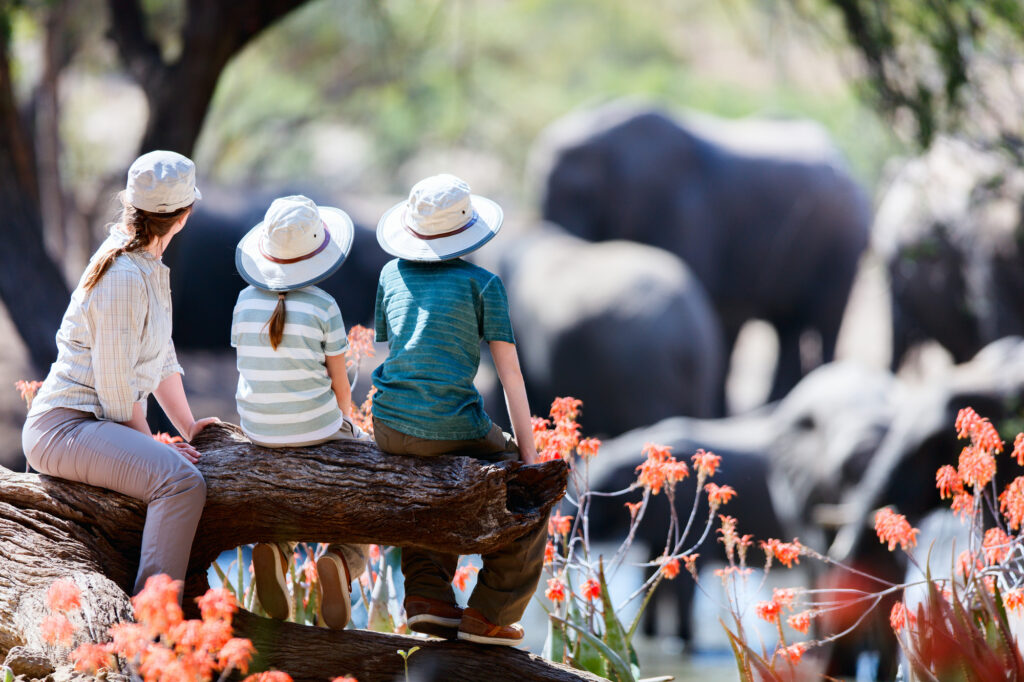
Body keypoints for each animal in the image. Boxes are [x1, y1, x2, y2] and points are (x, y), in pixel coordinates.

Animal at [533, 100, 872, 409]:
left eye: (581, 195)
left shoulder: (683, 212)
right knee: (786, 324)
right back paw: (775, 403)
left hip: (844, 241)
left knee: (827, 317)